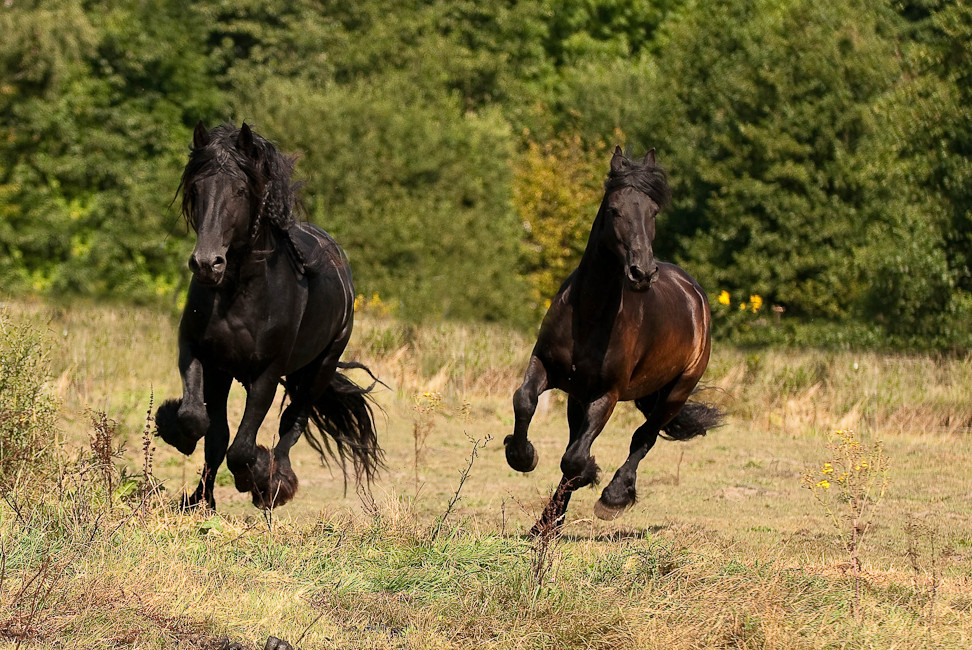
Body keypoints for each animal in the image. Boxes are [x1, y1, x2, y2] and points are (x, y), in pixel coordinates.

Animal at [158, 120, 382, 506]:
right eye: (197, 188)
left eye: (240, 189)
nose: (207, 264)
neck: (238, 296)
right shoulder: (201, 355)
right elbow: (200, 422)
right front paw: (196, 491)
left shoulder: (266, 374)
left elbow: (241, 449)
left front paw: (260, 479)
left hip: (319, 368)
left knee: (293, 422)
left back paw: (277, 483)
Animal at [502, 147, 720, 532]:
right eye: (615, 209)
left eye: (653, 211)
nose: (642, 272)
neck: (588, 315)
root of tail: (693, 293)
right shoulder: (546, 367)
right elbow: (525, 400)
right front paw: (521, 454)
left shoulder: (608, 394)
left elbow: (574, 459)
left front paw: (591, 479)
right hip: (578, 395)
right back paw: (548, 523)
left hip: (677, 390)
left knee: (644, 437)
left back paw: (612, 498)